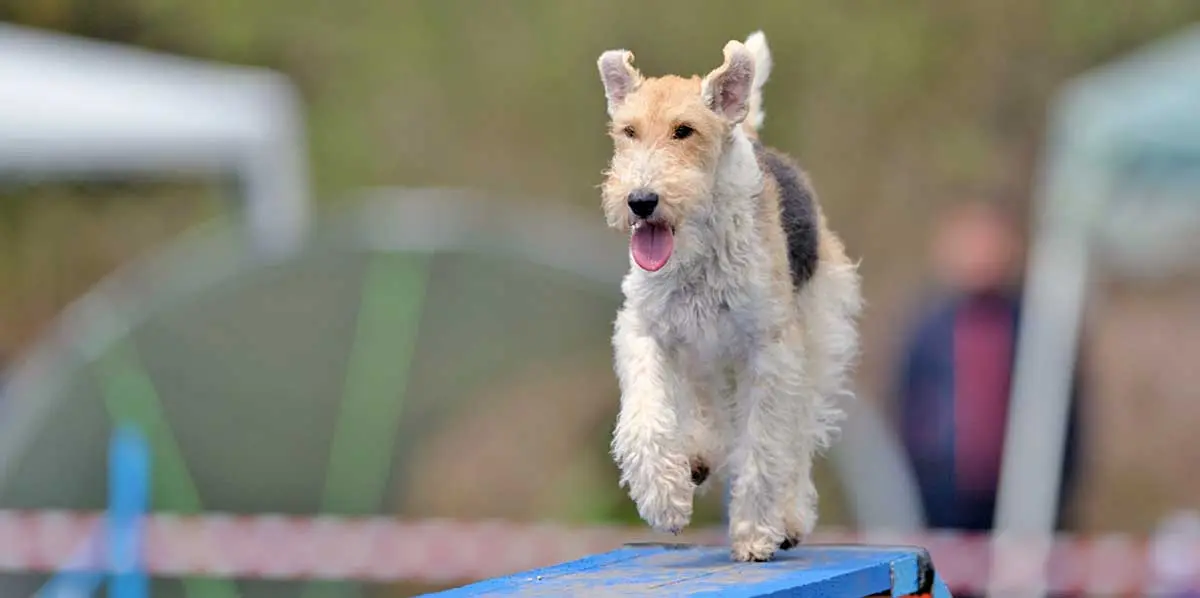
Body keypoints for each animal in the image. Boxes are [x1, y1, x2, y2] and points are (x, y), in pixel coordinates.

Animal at [597, 31, 864, 564]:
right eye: (627, 131)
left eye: (684, 131)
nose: (641, 201)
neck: (699, 248)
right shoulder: (645, 330)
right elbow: (646, 420)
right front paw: (664, 498)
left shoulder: (771, 351)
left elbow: (764, 446)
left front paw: (755, 534)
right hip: (702, 349)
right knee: (706, 409)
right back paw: (696, 459)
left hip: (814, 343)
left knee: (797, 437)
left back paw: (788, 519)